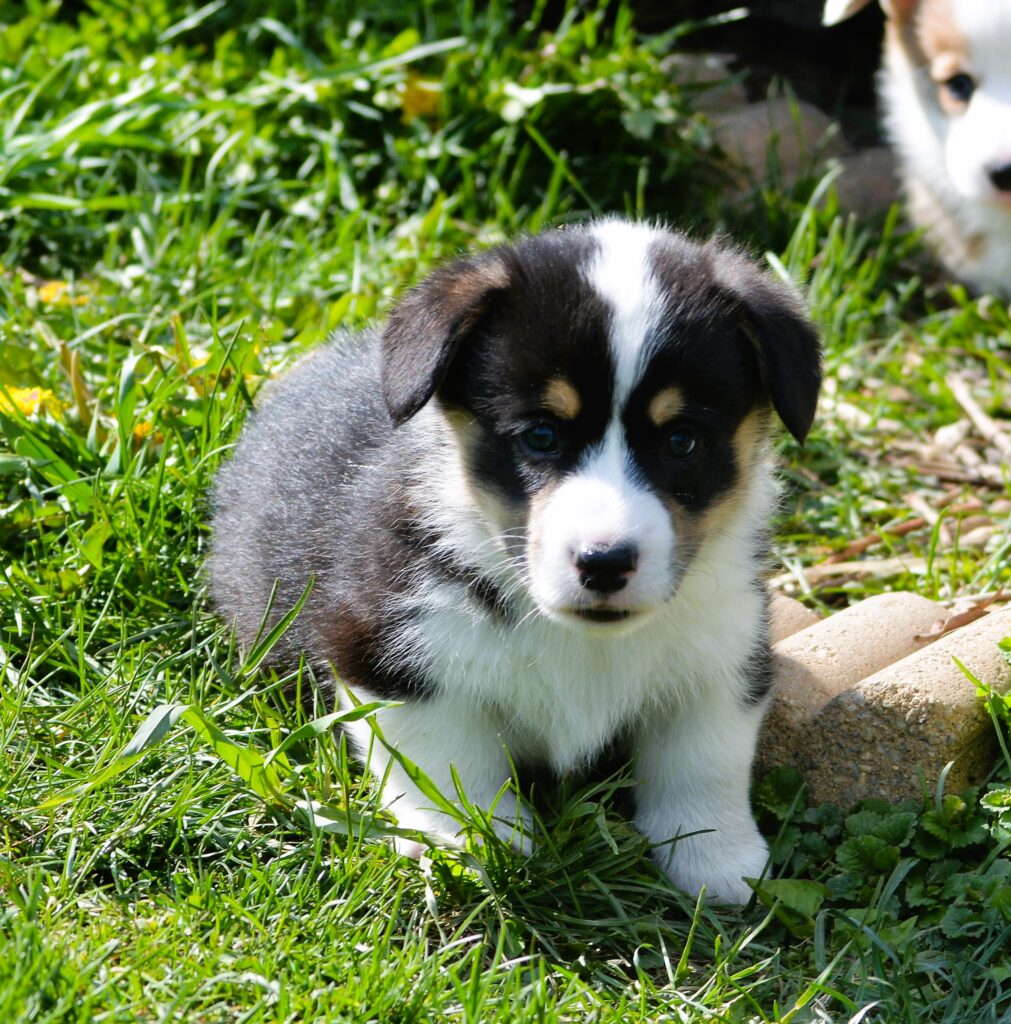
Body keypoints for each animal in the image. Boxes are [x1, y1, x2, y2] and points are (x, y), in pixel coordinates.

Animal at [207, 218, 823, 905]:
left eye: (682, 441)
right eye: (541, 435)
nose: (604, 562)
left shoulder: (725, 650)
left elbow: (704, 757)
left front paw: (715, 858)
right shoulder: (388, 652)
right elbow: (448, 758)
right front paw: (473, 840)